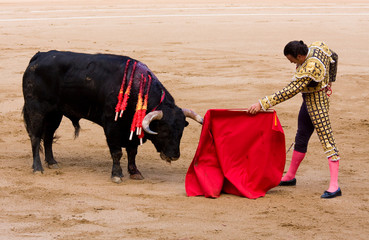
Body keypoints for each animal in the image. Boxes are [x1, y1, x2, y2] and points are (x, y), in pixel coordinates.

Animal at [22, 50, 203, 182]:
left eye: (181, 132)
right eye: (164, 131)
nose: (174, 155)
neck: (137, 89)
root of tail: (39, 56)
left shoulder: (132, 129)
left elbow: (132, 151)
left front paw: (135, 172)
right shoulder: (111, 125)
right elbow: (117, 152)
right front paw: (117, 174)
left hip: (55, 114)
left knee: (48, 136)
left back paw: (52, 162)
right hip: (36, 109)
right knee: (35, 137)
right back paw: (38, 168)